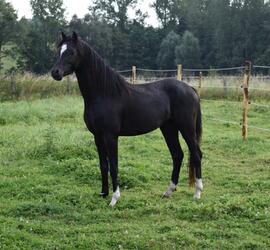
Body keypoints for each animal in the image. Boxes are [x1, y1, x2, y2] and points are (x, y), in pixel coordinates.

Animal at [51, 32, 202, 206]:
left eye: (72, 52)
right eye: (59, 51)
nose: (55, 72)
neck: (104, 93)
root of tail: (190, 89)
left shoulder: (110, 136)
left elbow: (114, 166)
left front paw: (114, 198)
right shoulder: (97, 136)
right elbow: (103, 165)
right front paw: (103, 193)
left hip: (186, 128)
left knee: (196, 154)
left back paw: (198, 193)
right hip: (168, 128)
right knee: (177, 155)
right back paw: (168, 192)